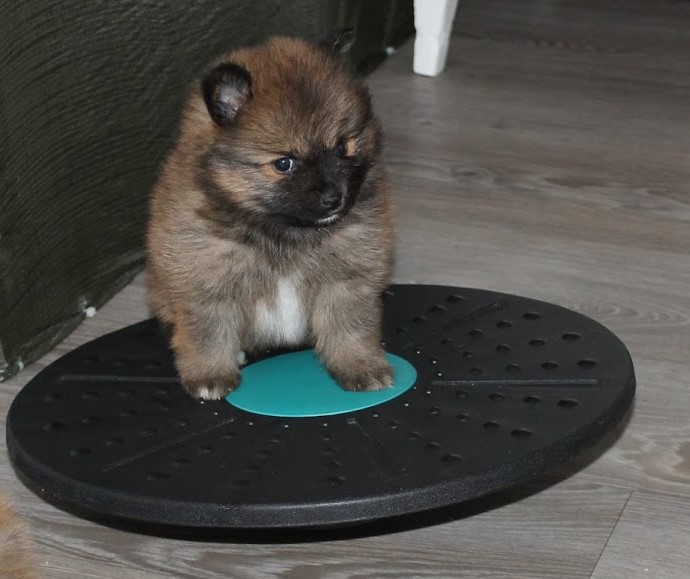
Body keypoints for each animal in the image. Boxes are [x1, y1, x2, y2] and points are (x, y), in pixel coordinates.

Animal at [145, 29, 392, 402]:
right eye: (284, 164)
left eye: (342, 147)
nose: (334, 198)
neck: (279, 232)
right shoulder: (206, 282)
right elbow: (208, 334)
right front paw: (210, 374)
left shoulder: (348, 277)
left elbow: (351, 327)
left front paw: (360, 365)